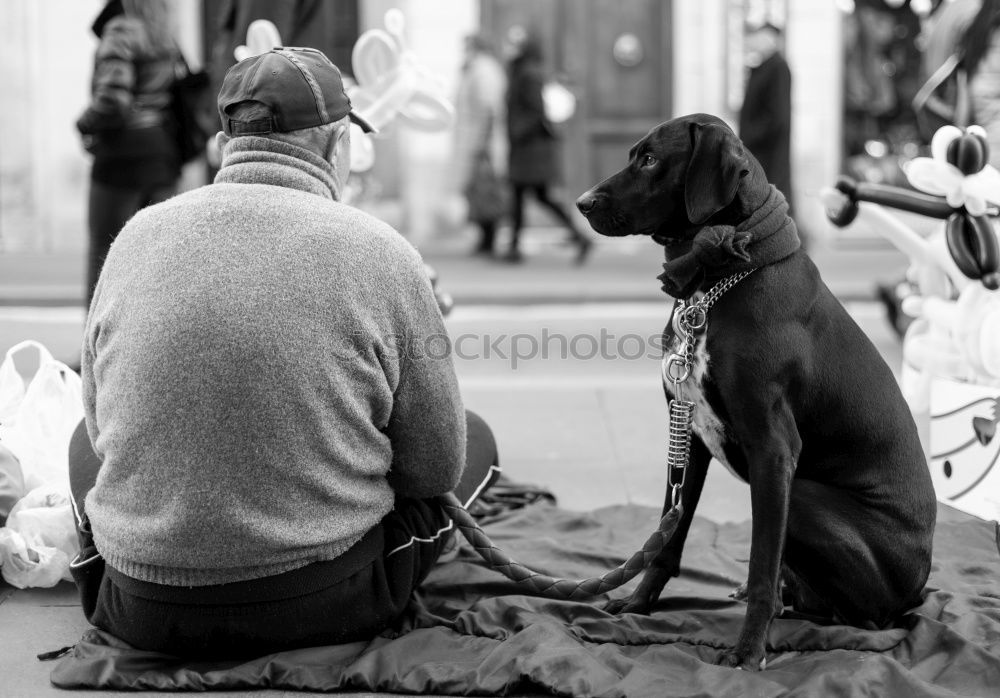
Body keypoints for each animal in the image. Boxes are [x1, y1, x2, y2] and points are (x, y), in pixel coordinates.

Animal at [576, 114, 932, 668]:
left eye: (651, 159)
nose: (582, 202)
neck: (717, 281)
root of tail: (917, 588)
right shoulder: (690, 432)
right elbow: (669, 536)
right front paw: (638, 604)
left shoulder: (773, 448)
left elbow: (761, 563)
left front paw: (748, 650)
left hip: (804, 497)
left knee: (861, 617)